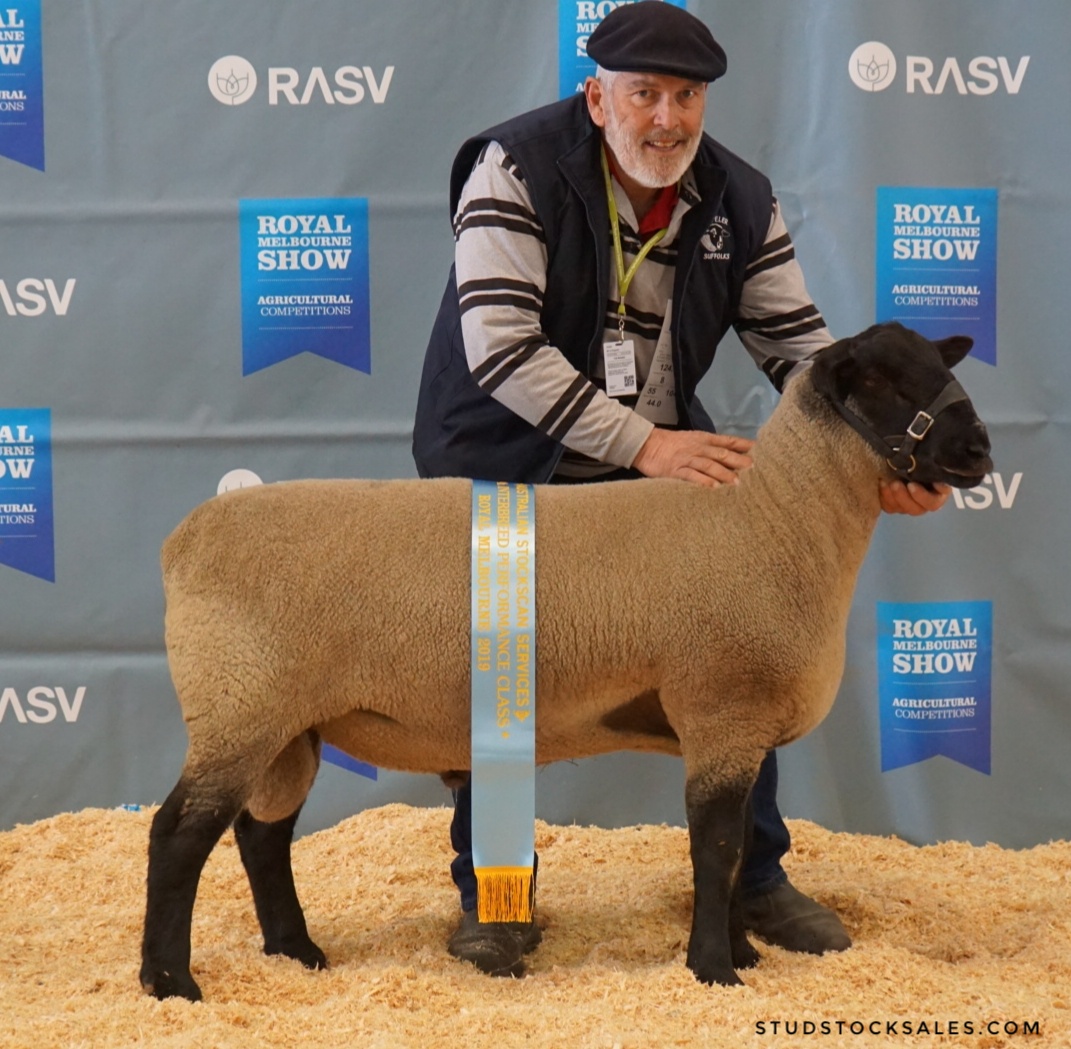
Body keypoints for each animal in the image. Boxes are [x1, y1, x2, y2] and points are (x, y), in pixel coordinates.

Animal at [138, 319, 989, 1002]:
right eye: (880, 379)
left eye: (937, 365)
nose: (977, 449)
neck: (770, 518)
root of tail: (183, 539)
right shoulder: (721, 707)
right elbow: (714, 847)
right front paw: (714, 969)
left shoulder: (737, 730)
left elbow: (740, 843)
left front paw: (741, 952)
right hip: (238, 701)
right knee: (179, 834)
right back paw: (171, 981)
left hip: (287, 724)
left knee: (261, 834)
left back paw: (296, 952)